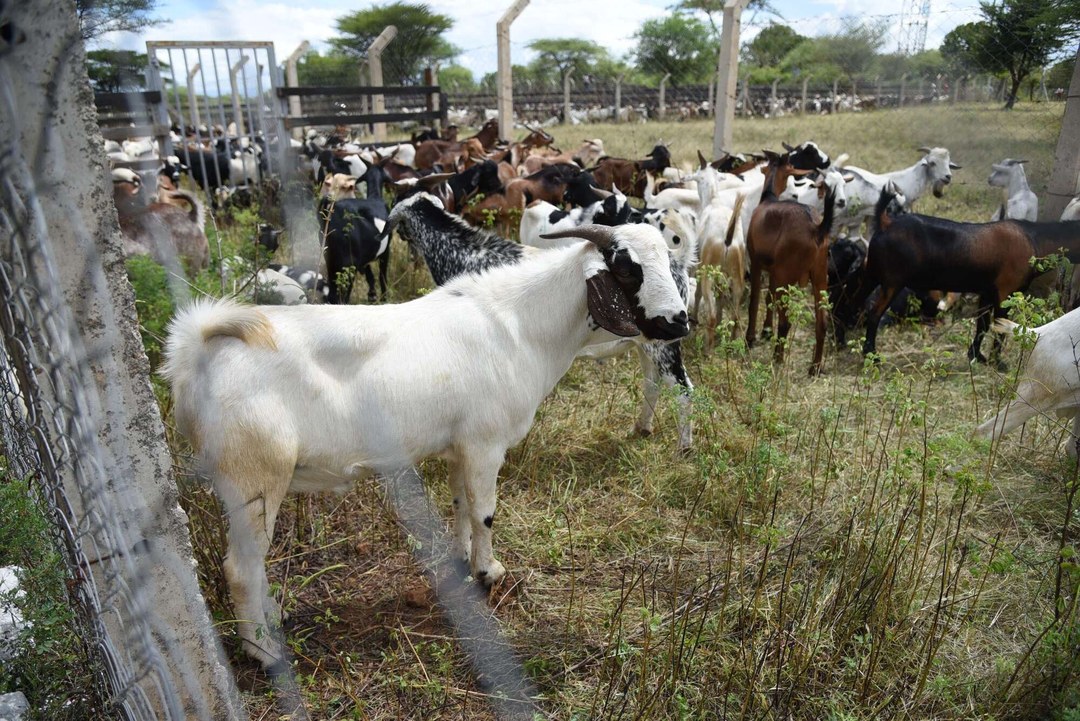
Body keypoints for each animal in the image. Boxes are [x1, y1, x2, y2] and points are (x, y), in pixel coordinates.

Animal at [161, 219, 688, 669]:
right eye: (626, 266)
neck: (519, 326)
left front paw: (460, 561)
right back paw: (264, 651)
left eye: (668, 257)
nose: (679, 322)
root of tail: (198, 351)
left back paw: (274, 620)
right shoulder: (486, 443)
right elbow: (485, 511)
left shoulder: (461, 446)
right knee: (240, 567)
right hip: (253, 475)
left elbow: (460, 504)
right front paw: (488, 572)